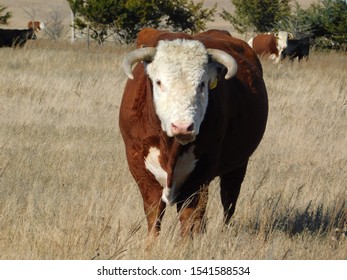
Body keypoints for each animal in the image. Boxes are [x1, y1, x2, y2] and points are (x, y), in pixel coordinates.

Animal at [119, 28, 270, 236]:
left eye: (202, 84)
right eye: (159, 82)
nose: (183, 127)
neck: (171, 147)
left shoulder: (200, 175)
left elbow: (190, 218)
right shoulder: (141, 169)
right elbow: (154, 215)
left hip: (239, 164)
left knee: (229, 199)